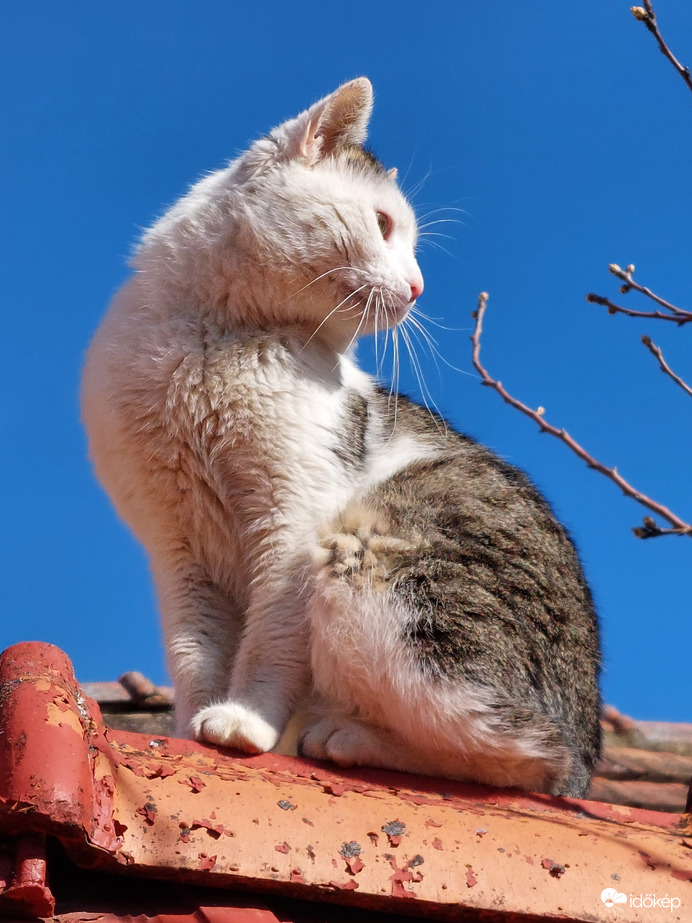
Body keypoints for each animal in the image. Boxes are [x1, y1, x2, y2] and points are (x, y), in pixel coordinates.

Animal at [79, 79, 600, 796]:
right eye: (382, 225)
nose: (418, 287)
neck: (221, 337)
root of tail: (588, 741)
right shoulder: (174, 540)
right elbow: (194, 648)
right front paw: (191, 726)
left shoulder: (295, 516)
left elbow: (270, 636)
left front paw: (243, 720)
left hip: (367, 554)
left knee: (525, 755)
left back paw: (346, 737)